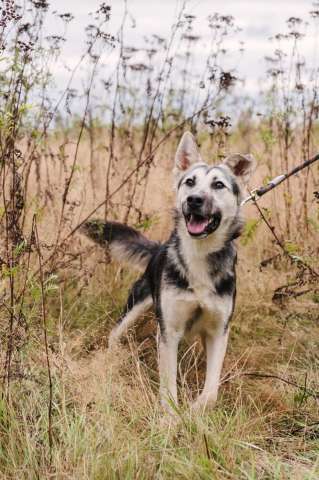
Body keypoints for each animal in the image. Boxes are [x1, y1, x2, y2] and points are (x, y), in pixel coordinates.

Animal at [82, 132, 255, 412]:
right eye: (190, 182)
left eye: (218, 185)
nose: (193, 199)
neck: (198, 254)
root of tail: (158, 248)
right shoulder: (168, 332)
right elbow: (168, 386)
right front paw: (171, 417)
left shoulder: (218, 333)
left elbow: (211, 391)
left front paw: (195, 412)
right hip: (136, 306)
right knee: (113, 335)